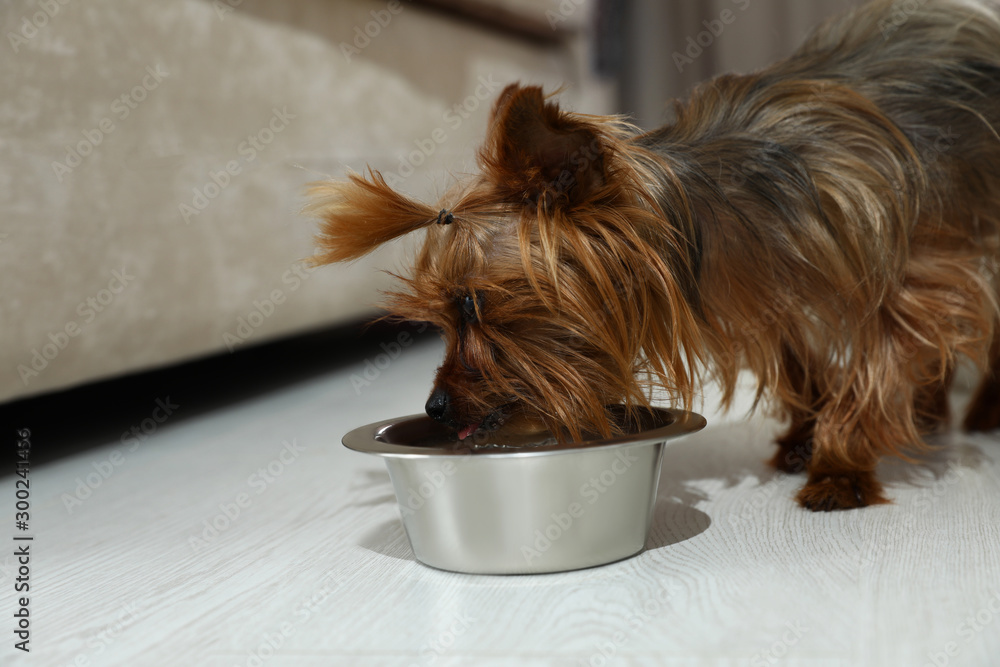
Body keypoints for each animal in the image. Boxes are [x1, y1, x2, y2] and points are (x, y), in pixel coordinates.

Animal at [306, 0, 1000, 512]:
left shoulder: (900, 277)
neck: (714, 217)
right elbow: (804, 368)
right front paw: (806, 438)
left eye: (472, 304)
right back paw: (930, 412)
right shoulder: (768, 303)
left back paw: (978, 411)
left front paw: (840, 465)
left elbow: (878, 365)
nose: (436, 409)